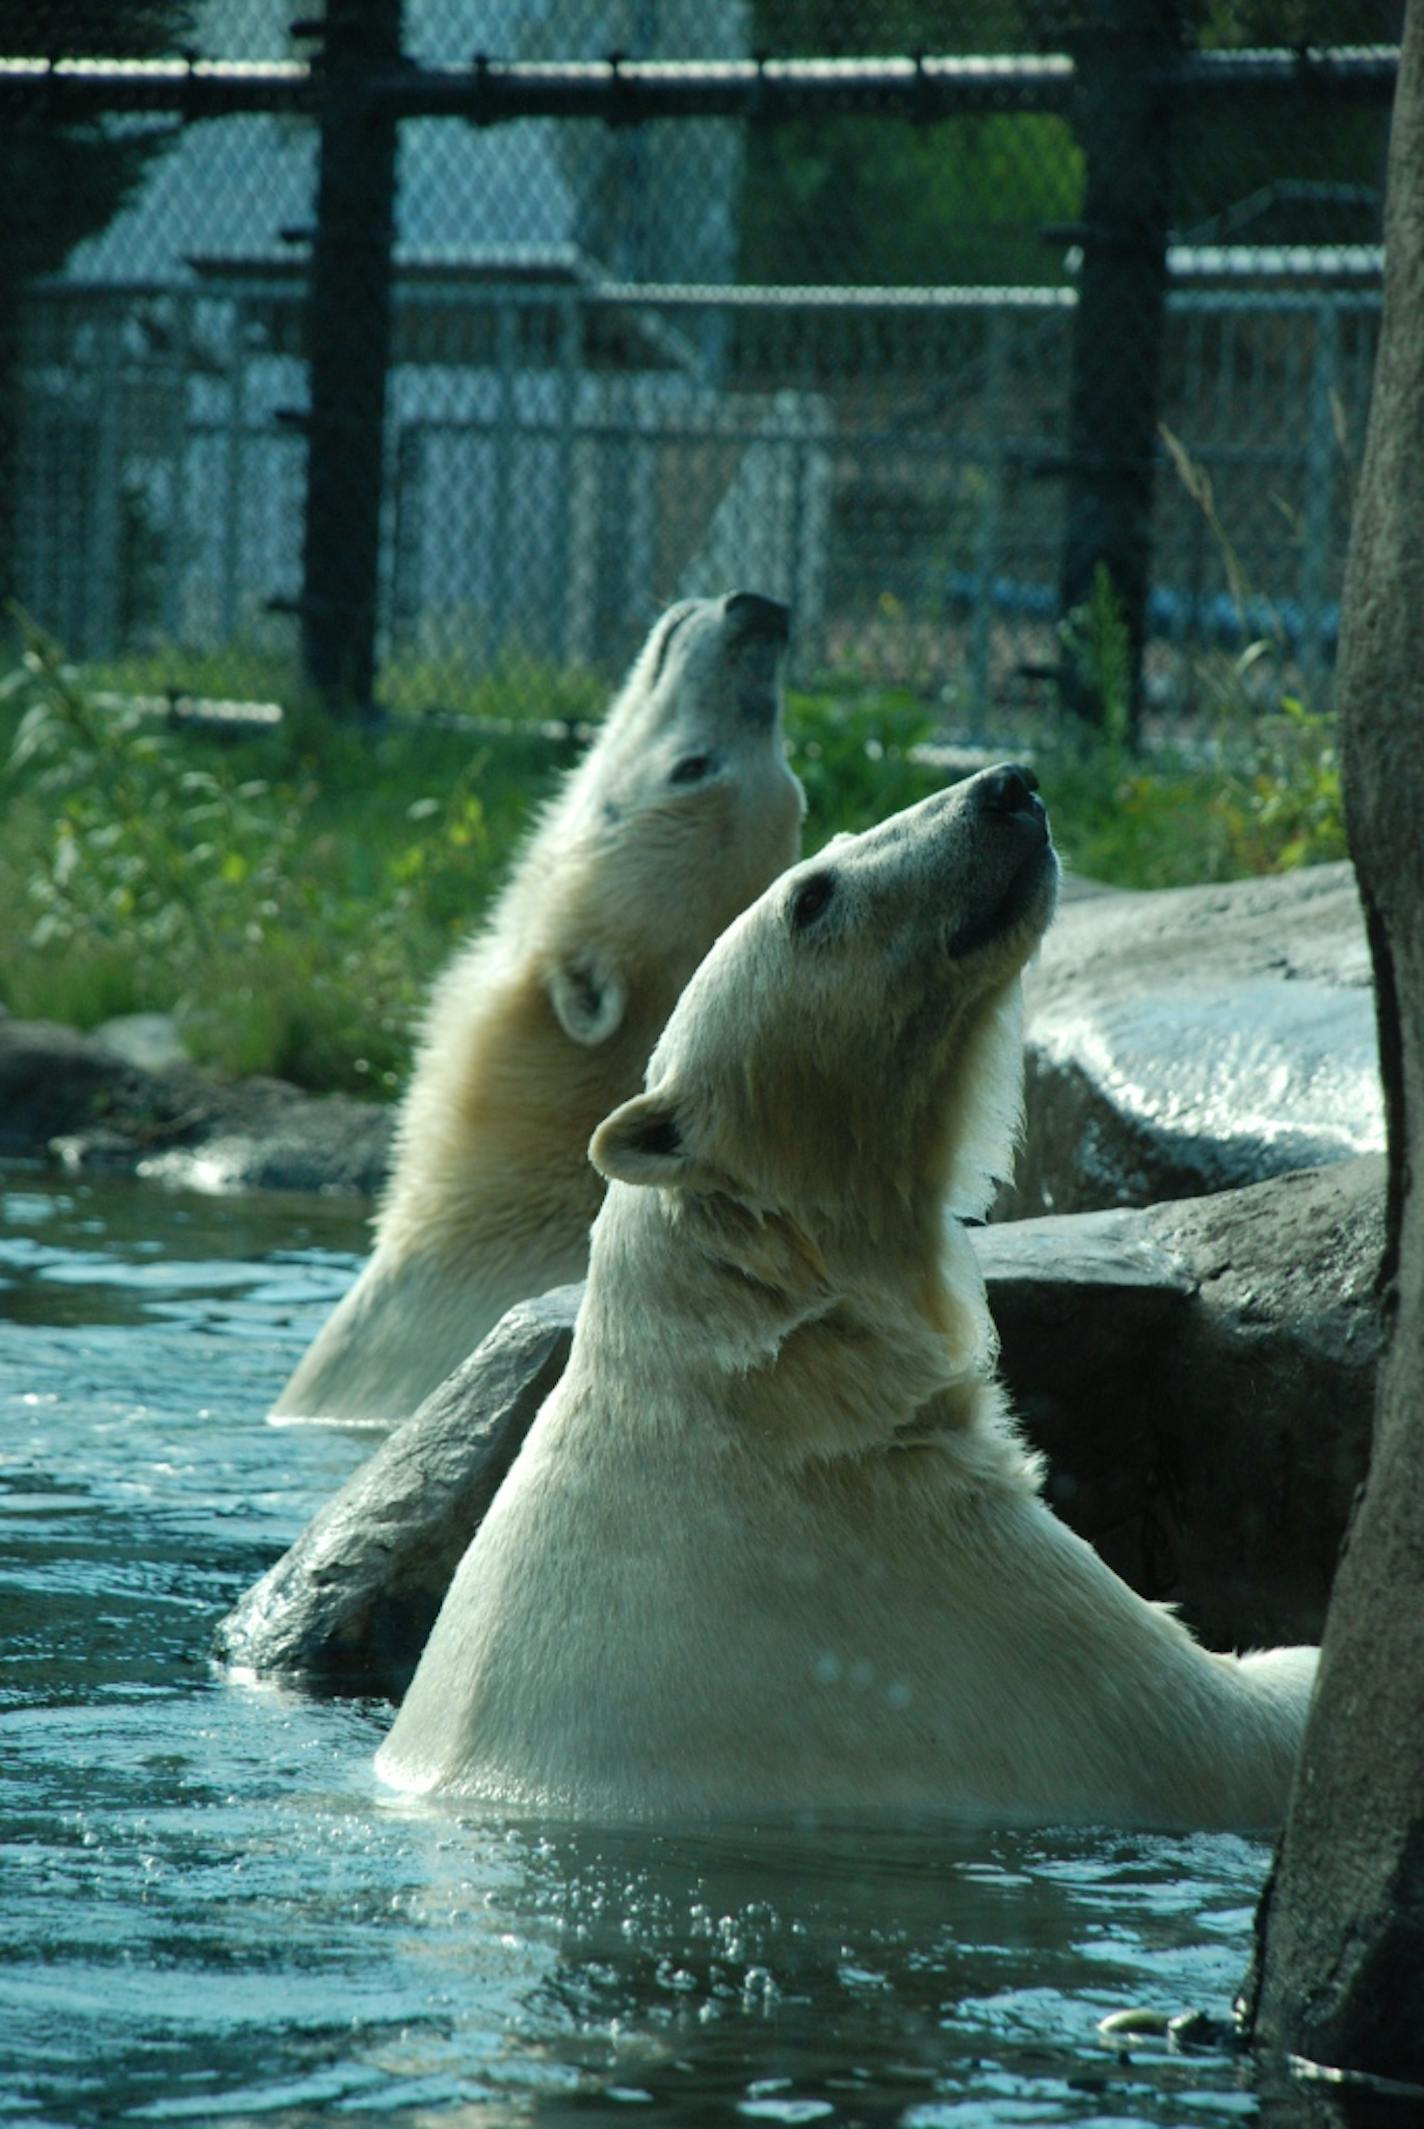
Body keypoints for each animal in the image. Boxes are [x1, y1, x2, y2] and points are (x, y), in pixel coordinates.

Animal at [372, 766, 1319, 1830]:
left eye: (831, 844)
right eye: (812, 894)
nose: (1006, 786)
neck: (765, 1363)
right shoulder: (922, 1575)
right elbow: (1219, 1718)